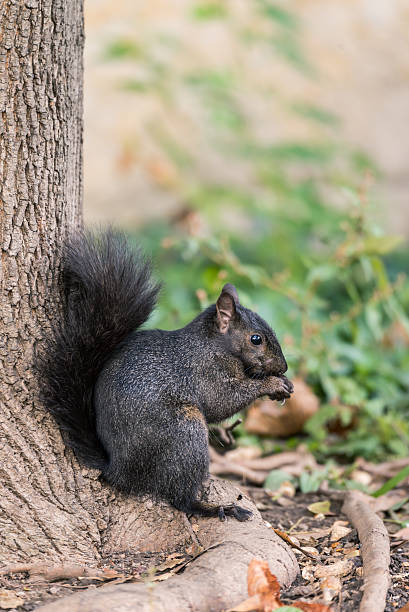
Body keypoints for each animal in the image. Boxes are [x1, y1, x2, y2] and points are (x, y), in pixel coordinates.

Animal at [37, 230, 294, 520]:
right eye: (256, 339)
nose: (283, 367)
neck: (214, 345)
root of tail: (119, 472)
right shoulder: (206, 372)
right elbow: (222, 402)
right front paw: (272, 384)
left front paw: (285, 384)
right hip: (185, 431)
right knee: (180, 499)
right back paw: (218, 508)